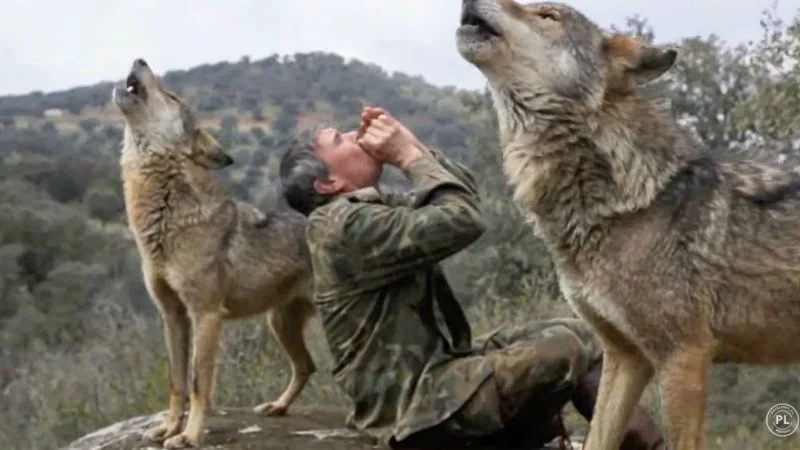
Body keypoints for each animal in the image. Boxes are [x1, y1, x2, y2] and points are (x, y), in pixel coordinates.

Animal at [112, 59, 317, 449]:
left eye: (172, 96)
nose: (140, 60)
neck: (165, 218)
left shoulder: (206, 315)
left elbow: (197, 384)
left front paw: (190, 436)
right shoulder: (173, 317)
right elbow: (176, 382)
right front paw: (168, 429)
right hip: (279, 324)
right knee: (307, 367)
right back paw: (277, 407)